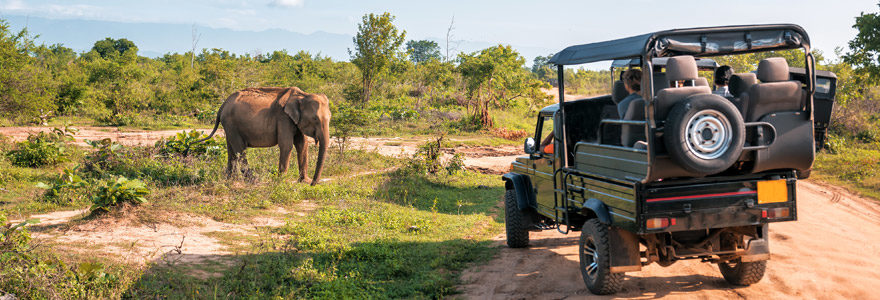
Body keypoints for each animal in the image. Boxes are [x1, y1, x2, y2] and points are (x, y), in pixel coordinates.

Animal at [198, 86, 332, 185]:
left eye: (330, 118)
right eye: (315, 119)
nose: (313, 183)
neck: (302, 95)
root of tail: (223, 105)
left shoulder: (295, 121)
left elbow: (302, 145)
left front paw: (304, 181)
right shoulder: (283, 118)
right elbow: (286, 145)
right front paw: (281, 181)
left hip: (229, 126)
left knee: (231, 149)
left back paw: (230, 180)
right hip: (231, 124)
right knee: (240, 149)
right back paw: (253, 180)